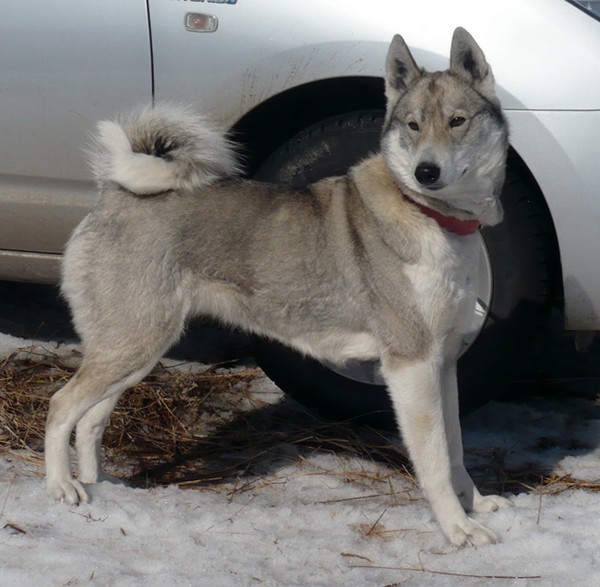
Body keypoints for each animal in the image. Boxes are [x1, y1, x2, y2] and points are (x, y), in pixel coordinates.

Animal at [45, 27, 511, 547]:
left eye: (457, 121)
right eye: (412, 126)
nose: (425, 172)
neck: (431, 216)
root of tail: (114, 191)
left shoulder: (443, 364)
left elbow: (455, 450)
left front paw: (475, 505)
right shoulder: (411, 366)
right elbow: (434, 460)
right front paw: (458, 529)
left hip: (135, 351)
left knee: (89, 420)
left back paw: (100, 485)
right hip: (130, 346)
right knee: (60, 406)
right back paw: (62, 487)